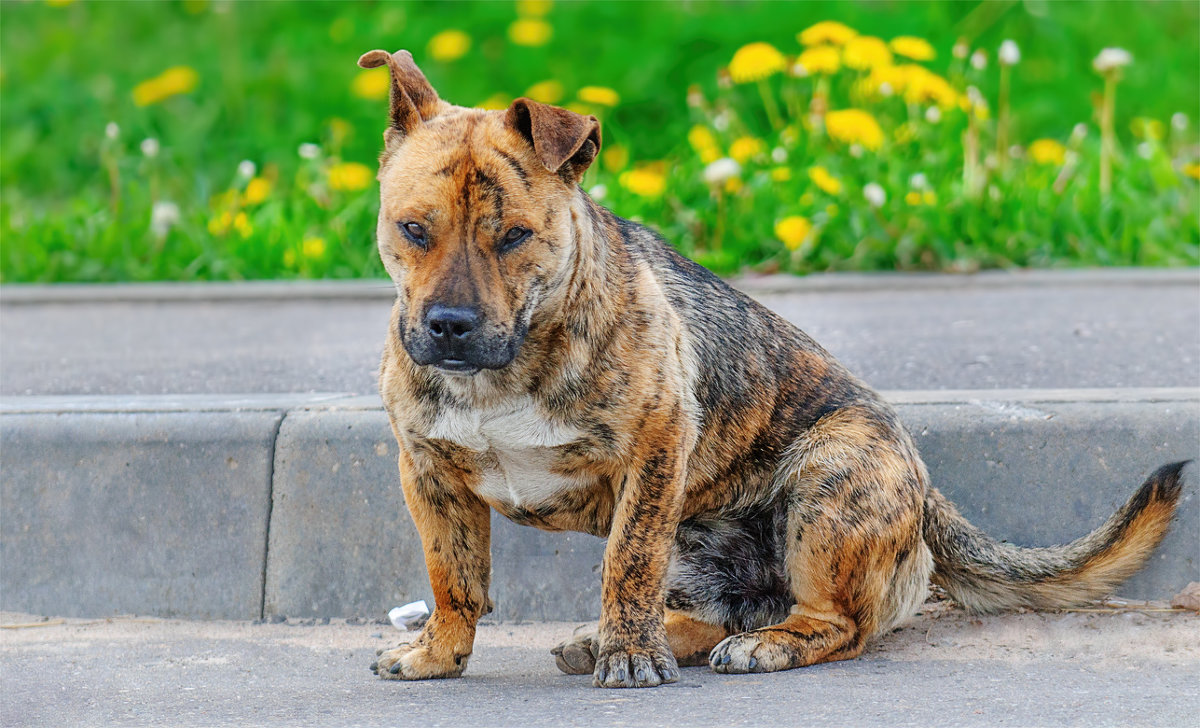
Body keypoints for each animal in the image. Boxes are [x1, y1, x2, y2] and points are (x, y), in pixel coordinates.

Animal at [360, 51, 1185, 690]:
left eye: (514, 237)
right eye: (413, 229)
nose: (450, 326)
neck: (504, 369)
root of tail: (925, 492)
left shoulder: (654, 455)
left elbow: (627, 562)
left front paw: (630, 656)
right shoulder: (426, 472)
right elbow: (453, 577)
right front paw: (440, 652)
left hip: (828, 482)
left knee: (834, 621)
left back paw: (757, 644)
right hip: (706, 540)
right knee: (704, 608)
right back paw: (633, 638)